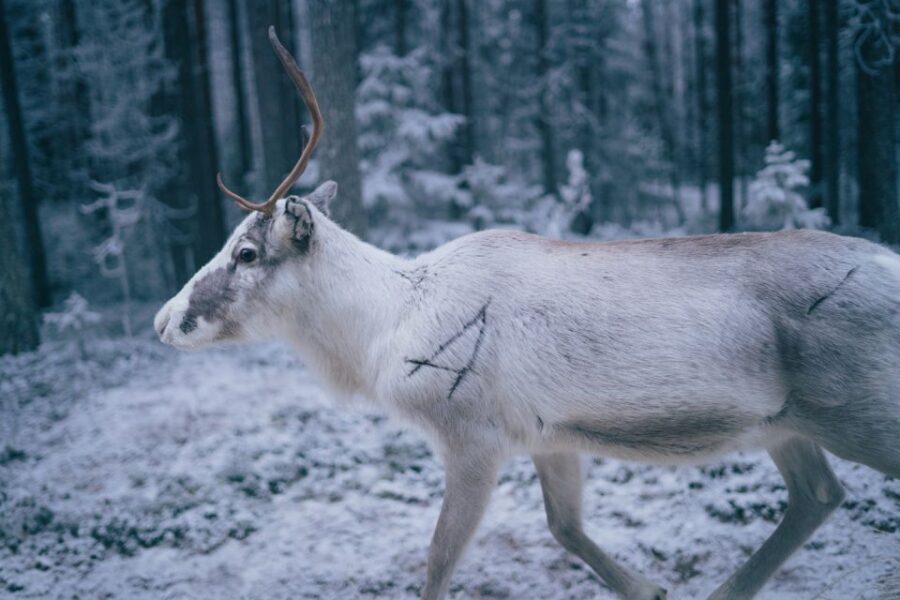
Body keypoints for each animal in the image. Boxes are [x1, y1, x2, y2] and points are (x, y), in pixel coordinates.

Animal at [155, 28, 900, 600]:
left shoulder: (471, 436)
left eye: (247, 252)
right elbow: (564, 527)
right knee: (818, 496)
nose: (164, 319)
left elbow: (438, 561)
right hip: (786, 423)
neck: (381, 332)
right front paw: (650, 588)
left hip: (856, 411)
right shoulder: (551, 436)